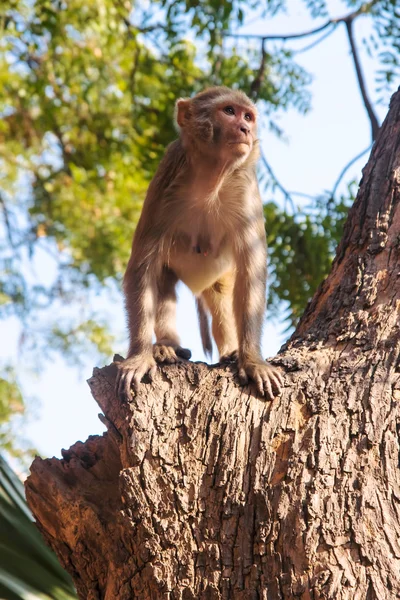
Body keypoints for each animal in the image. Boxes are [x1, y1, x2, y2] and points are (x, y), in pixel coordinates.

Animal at [115, 85, 284, 398]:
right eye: (229, 111)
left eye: (248, 116)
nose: (245, 128)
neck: (210, 180)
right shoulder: (165, 182)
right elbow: (142, 268)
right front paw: (139, 356)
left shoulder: (246, 192)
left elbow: (251, 274)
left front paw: (253, 360)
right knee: (162, 283)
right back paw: (166, 346)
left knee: (221, 295)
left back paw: (230, 349)